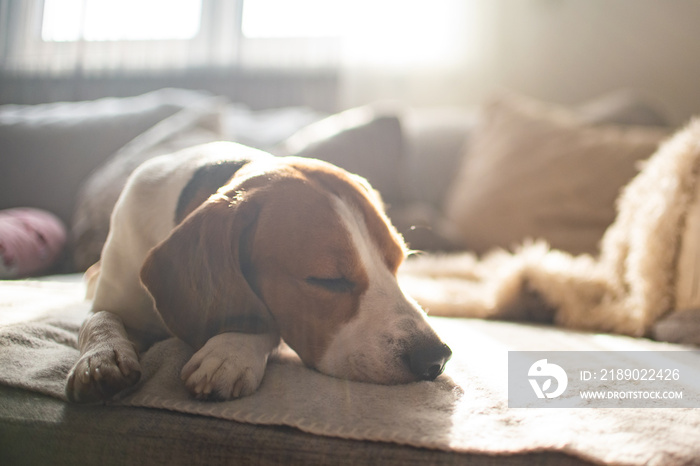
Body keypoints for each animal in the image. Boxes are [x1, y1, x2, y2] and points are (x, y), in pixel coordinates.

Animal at [64, 141, 448, 400]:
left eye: (397, 264)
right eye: (328, 280)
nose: (436, 358)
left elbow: (259, 318)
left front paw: (231, 351)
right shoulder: (114, 299)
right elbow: (97, 320)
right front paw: (101, 357)